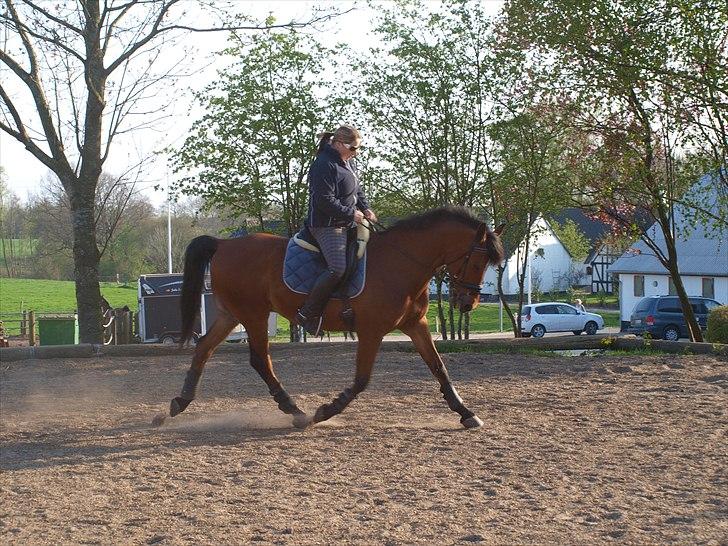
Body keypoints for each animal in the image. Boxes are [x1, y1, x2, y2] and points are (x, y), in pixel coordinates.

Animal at [156, 206, 504, 428]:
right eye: (477, 262)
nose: (468, 303)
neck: (402, 263)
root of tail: (224, 243)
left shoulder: (414, 325)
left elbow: (439, 368)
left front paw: (466, 413)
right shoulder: (372, 330)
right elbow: (362, 380)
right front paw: (325, 411)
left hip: (232, 314)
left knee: (204, 348)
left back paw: (176, 405)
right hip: (253, 315)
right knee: (259, 360)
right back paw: (294, 410)